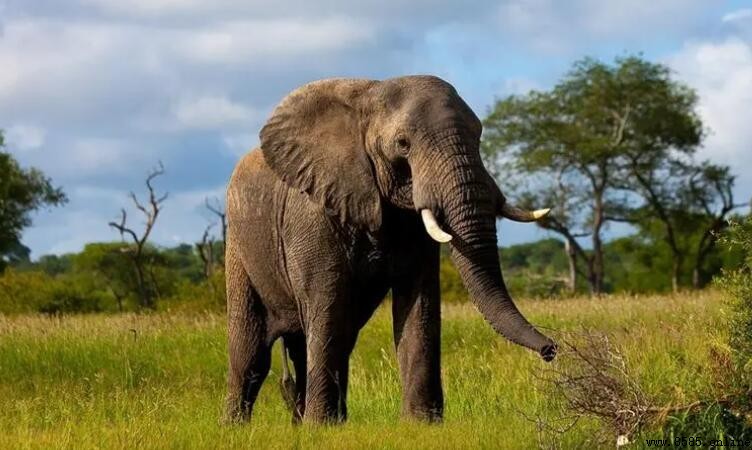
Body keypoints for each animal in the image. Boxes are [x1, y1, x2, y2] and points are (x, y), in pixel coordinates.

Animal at [224, 75, 556, 425]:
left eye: (479, 135)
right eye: (402, 144)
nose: (551, 350)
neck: (371, 92)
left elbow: (419, 304)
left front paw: (421, 424)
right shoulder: (312, 214)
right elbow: (327, 302)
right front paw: (320, 427)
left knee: (323, 341)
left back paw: (315, 423)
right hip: (238, 248)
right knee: (251, 351)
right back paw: (238, 427)